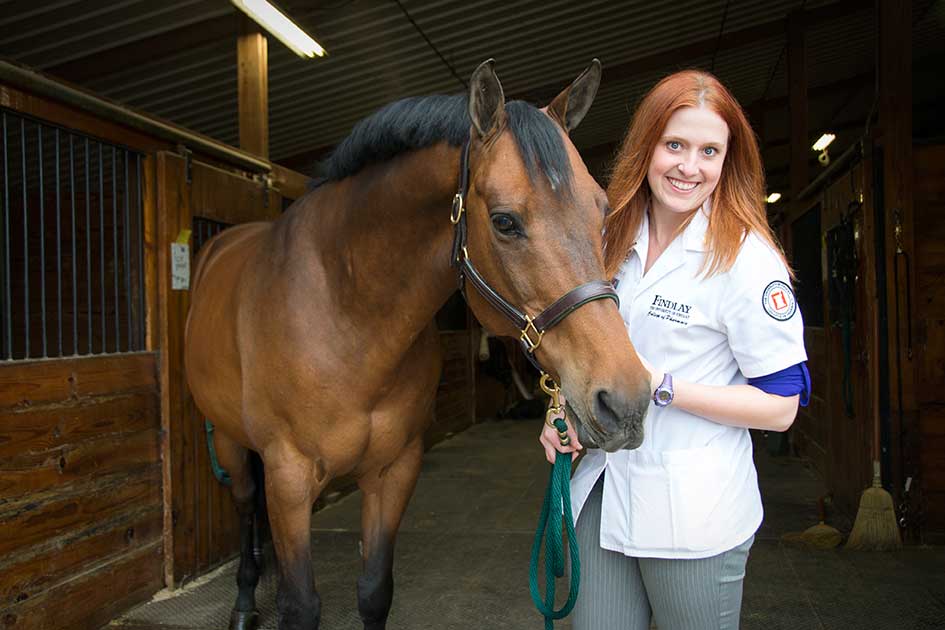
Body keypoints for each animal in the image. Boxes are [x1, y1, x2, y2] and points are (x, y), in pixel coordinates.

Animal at [186, 59, 656, 630]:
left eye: (603, 211)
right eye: (504, 221)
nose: (625, 401)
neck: (345, 313)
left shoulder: (394, 470)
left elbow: (374, 591)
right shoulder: (289, 480)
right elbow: (301, 605)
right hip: (231, 445)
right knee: (245, 508)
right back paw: (243, 603)